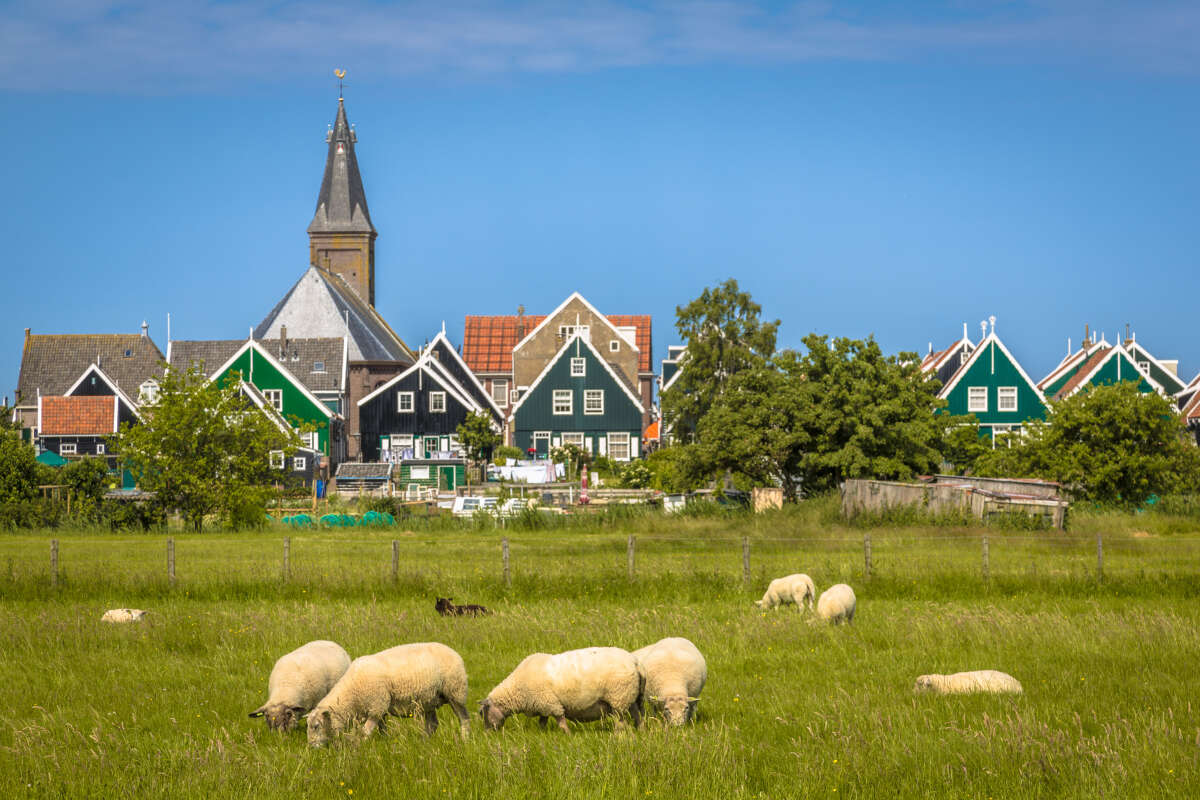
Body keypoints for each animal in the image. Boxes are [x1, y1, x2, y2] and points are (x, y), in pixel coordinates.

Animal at [304, 642, 468, 748]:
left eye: (316, 726)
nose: (311, 747)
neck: (351, 695)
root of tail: (454, 651)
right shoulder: (379, 708)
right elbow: (382, 729)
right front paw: (386, 742)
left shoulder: (376, 706)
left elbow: (365, 731)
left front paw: (359, 746)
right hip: (429, 700)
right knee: (432, 724)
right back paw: (424, 742)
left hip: (455, 692)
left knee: (464, 718)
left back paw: (464, 739)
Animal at [480, 647, 648, 734]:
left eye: (483, 714)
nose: (487, 735)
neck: (516, 690)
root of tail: (635, 662)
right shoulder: (543, 705)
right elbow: (542, 722)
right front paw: (542, 734)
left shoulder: (550, 703)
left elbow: (561, 721)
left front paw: (568, 735)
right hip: (633, 697)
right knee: (638, 715)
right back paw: (641, 731)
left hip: (619, 696)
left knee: (620, 721)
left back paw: (617, 734)